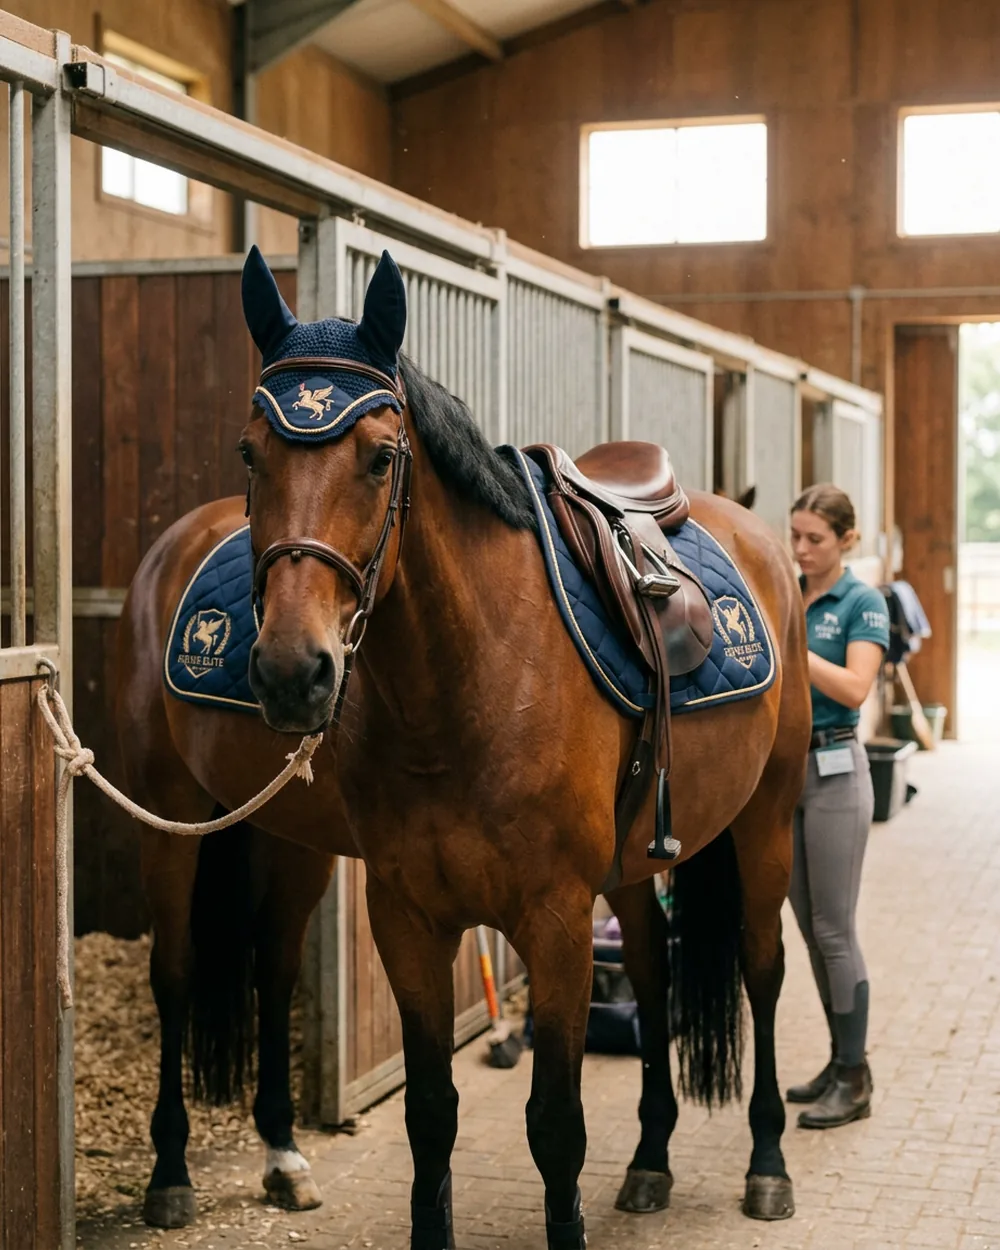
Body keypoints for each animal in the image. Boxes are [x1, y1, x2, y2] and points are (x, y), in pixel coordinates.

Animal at [114, 247, 810, 1245]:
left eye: (381, 458)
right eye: (251, 451)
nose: (290, 671)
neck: (470, 681)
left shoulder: (556, 921)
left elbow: (555, 1123)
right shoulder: (409, 917)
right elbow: (430, 1113)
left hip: (765, 816)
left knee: (759, 966)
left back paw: (763, 1163)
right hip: (183, 816)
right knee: (194, 972)